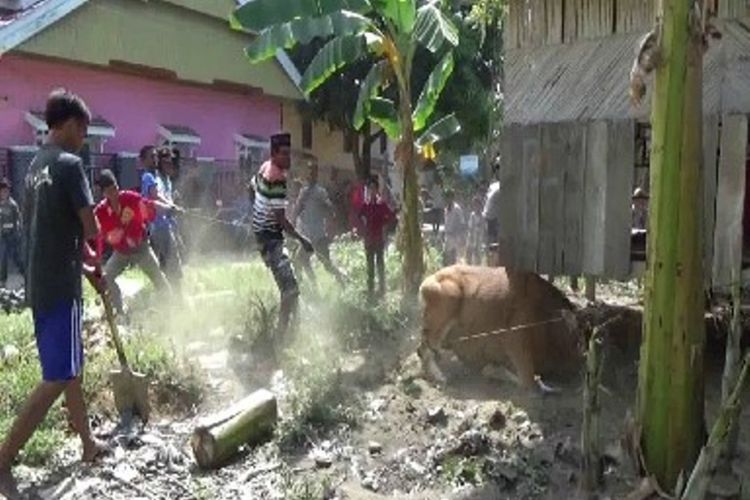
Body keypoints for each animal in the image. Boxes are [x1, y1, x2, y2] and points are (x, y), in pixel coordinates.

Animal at [420, 264, 584, 392]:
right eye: (577, 340)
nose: (578, 368)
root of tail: (427, 283)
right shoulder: (517, 347)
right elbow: (528, 382)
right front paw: (492, 370)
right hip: (446, 308)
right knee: (425, 348)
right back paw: (440, 377)